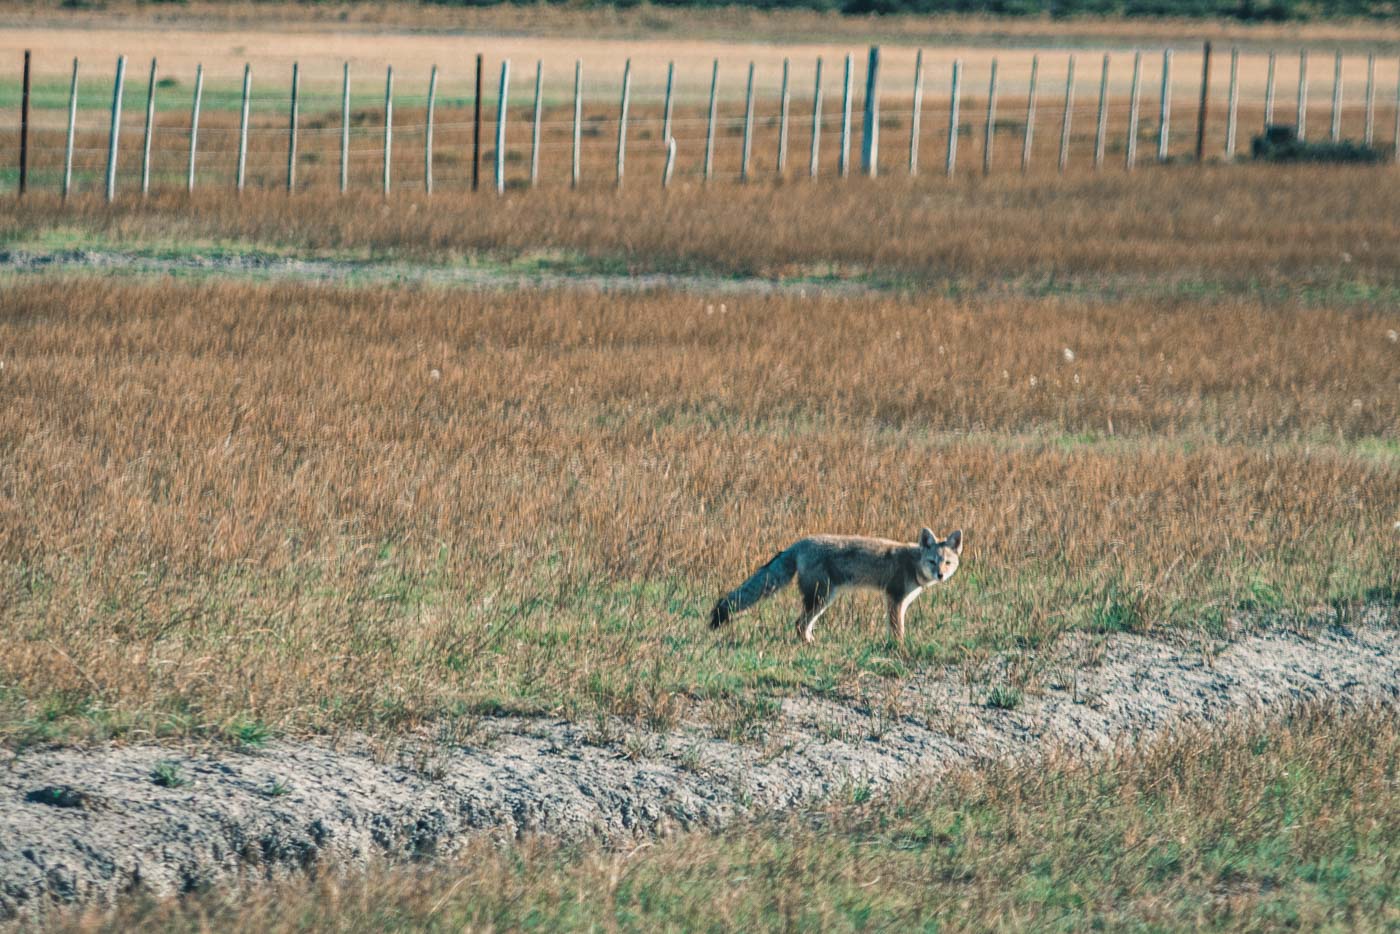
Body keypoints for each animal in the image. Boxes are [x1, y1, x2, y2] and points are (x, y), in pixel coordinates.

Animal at [711, 529, 963, 646]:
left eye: (947, 563)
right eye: (932, 561)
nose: (940, 575)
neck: (913, 562)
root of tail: (800, 543)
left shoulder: (898, 602)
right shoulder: (895, 599)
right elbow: (897, 629)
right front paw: (900, 647)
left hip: (823, 599)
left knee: (801, 624)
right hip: (822, 598)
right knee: (799, 623)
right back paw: (809, 644)